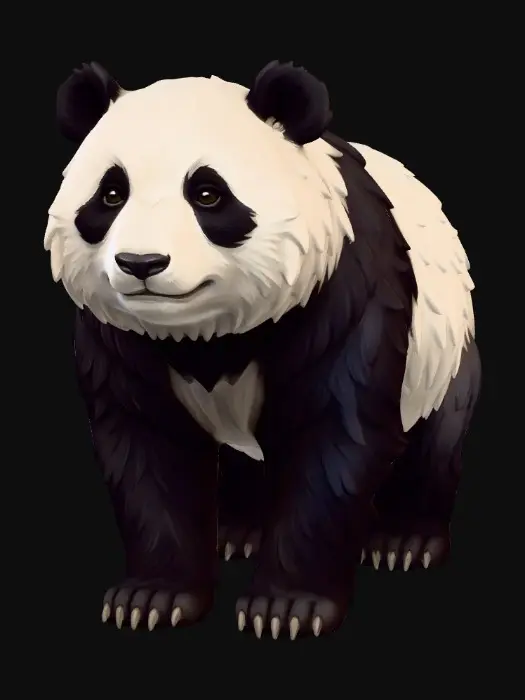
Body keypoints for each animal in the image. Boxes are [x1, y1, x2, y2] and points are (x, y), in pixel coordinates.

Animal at [45, 60, 481, 640]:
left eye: (208, 194)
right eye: (111, 195)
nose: (141, 263)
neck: (207, 333)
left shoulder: (343, 299)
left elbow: (336, 439)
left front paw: (286, 610)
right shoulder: (118, 339)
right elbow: (146, 450)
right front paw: (151, 598)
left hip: (444, 348)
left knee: (436, 437)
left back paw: (403, 541)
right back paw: (238, 532)